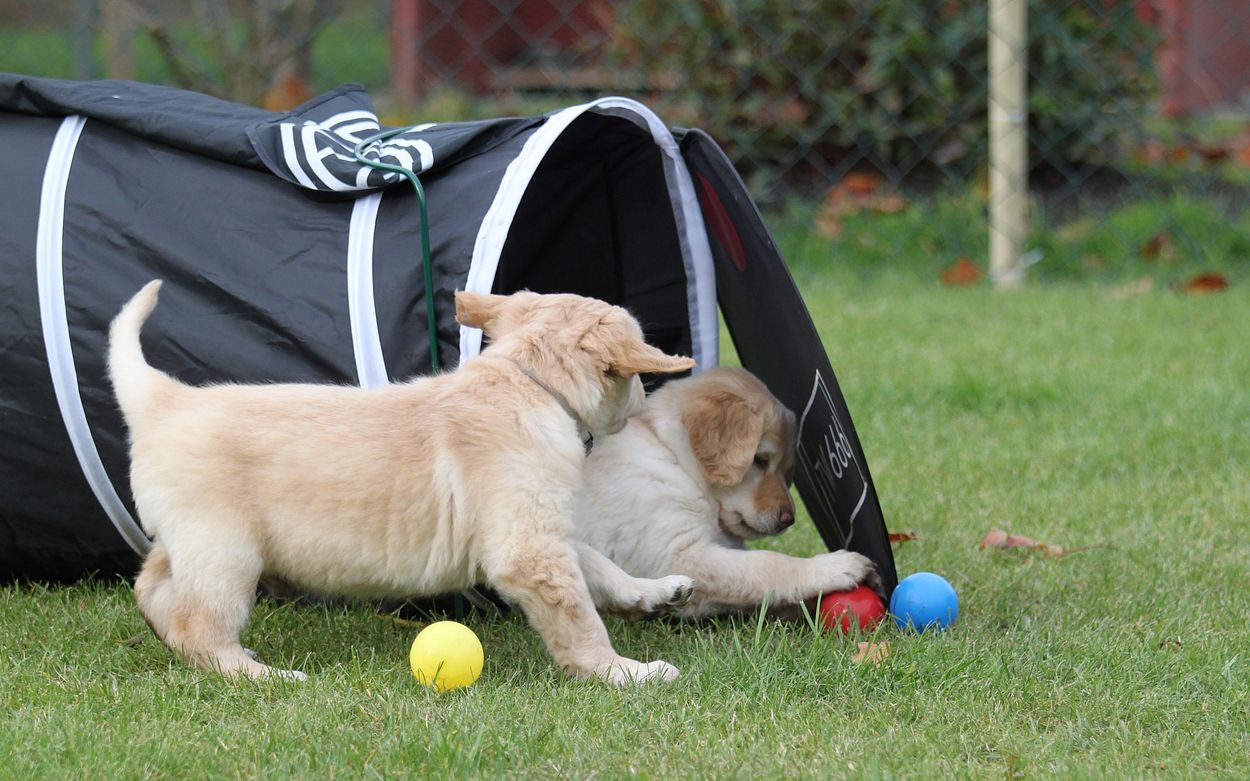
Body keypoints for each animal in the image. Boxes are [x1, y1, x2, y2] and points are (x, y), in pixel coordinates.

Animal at [109, 281, 698, 685]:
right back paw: (262, 677)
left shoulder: (538, 527)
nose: (643, 397)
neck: (529, 383)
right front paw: (622, 672)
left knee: (153, 592)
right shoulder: (527, 549)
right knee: (198, 624)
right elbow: (579, 618)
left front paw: (655, 591)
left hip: (188, 541)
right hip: (225, 550)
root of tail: (165, 399)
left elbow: (596, 563)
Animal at [575, 367, 878, 619]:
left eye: (788, 470)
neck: (673, 456)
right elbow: (767, 566)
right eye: (760, 460)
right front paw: (833, 566)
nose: (788, 519)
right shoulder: (676, 555)